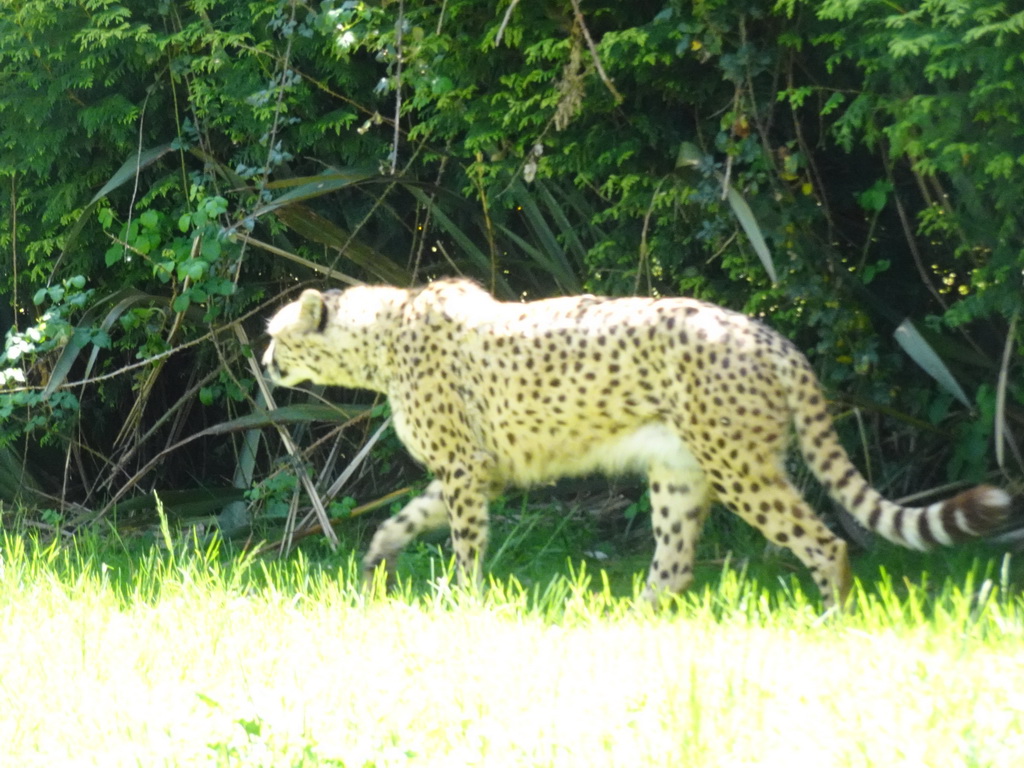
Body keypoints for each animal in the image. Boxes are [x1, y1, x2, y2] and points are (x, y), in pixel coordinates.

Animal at [262, 276, 1007, 606]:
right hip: (679, 471)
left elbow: (465, 542)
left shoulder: (465, 468)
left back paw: (831, 616)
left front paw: (461, 598)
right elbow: (408, 516)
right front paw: (378, 557)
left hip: (739, 465)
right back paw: (631, 619)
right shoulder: (478, 469)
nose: (263, 364)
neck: (382, 335)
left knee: (824, 540)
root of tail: (768, 332)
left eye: (276, 335)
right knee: (675, 565)